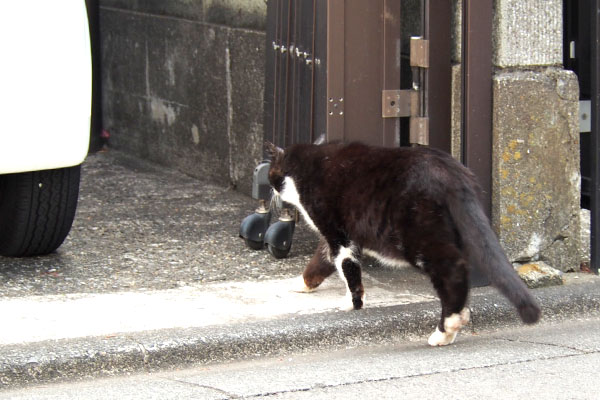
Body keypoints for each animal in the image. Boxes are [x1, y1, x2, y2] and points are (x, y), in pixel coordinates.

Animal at [266, 142, 540, 346]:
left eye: (270, 173)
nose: (271, 190)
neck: (305, 167)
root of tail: (451, 172)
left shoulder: (337, 233)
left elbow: (347, 268)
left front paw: (353, 303)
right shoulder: (337, 237)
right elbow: (320, 262)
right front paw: (302, 284)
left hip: (417, 236)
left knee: (453, 269)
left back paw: (447, 327)